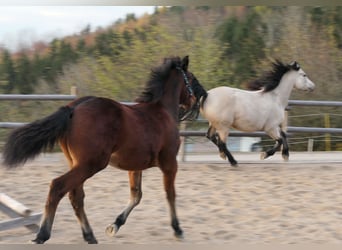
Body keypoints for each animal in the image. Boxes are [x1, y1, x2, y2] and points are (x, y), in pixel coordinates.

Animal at [1, 55, 206, 243]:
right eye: (192, 78)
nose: (202, 96)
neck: (162, 112)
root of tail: (73, 108)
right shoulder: (170, 163)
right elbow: (170, 194)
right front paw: (177, 229)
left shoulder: (135, 166)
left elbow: (136, 195)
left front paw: (114, 225)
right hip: (91, 164)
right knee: (58, 186)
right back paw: (42, 234)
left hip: (78, 163)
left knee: (76, 196)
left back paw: (89, 235)